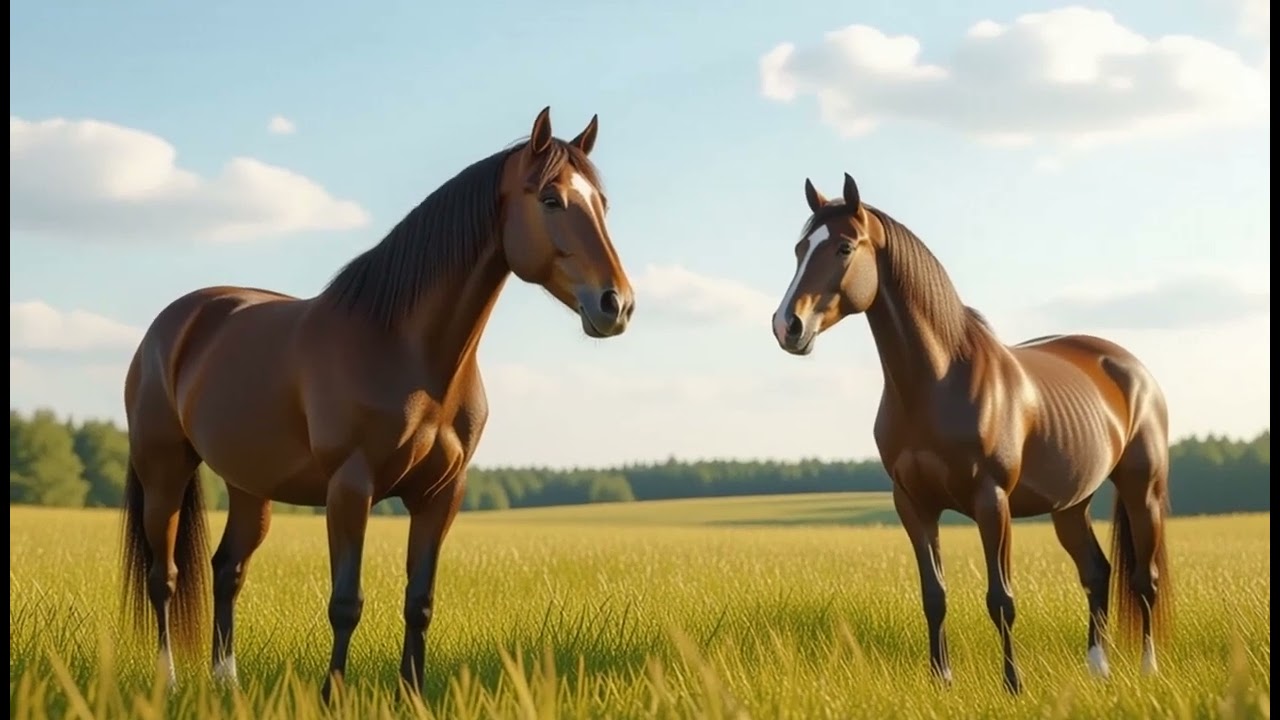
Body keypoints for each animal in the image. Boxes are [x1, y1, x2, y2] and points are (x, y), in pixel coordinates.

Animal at [118, 106, 636, 700]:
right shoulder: (350, 486)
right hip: (164, 471)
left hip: (249, 485)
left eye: (602, 204)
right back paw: (169, 683)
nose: (616, 304)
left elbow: (420, 603)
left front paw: (412, 694)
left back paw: (227, 682)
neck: (405, 348)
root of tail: (173, 323)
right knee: (164, 577)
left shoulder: (441, 494)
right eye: (551, 199)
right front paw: (331, 695)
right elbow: (346, 601)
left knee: (227, 570)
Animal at [768, 173, 1173, 695]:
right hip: (1070, 505)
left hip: (1143, 490)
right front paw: (941, 680)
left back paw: (1148, 669)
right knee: (1096, 573)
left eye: (843, 247)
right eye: (800, 248)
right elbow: (934, 594)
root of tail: (1132, 367)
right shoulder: (913, 503)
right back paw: (1096, 668)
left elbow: (1001, 598)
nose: (787, 326)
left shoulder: (991, 500)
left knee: (1145, 579)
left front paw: (1013, 685)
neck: (936, 381)